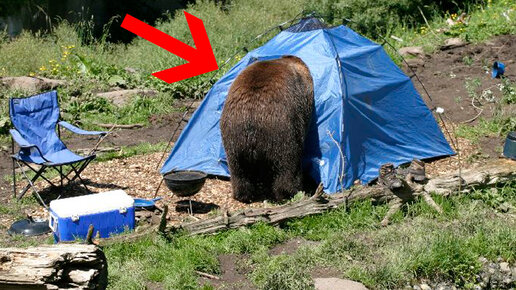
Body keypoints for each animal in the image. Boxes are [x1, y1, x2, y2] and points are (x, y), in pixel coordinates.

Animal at [219, 55, 312, 203]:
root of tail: (252, 116)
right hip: (282, 130)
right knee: (288, 164)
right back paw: (289, 192)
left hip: (233, 135)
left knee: (239, 170)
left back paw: (243, 194)